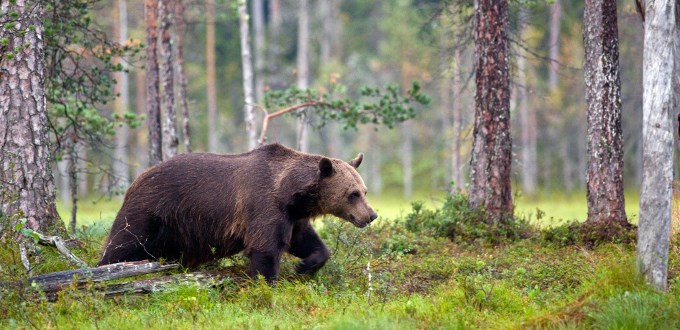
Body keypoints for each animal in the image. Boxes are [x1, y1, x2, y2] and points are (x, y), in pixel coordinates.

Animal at [97, 143, 378, 282]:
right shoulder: (262, 204)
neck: (289, 191)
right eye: (352, 194)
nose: (371, 215)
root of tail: (137, 178)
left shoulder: (292, 215)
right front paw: (266, 284)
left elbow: (304, 241)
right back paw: (106, 272)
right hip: (152, 209)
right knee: (123, 242)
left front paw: (305, 266)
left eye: (364, 191)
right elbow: (265, 249)